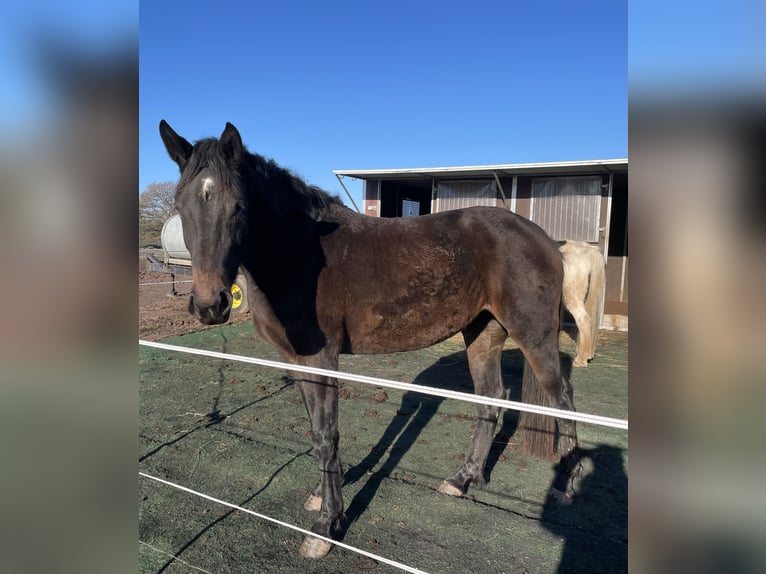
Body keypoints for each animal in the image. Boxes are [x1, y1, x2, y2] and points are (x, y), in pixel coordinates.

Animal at [159, 120, 581, 559]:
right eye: (181, 206)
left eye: (238, 207)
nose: (210, 304)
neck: (300, 251)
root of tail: (547, 240)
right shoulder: (295, 358)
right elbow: (316, 429)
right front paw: (322, 495)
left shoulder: (322, 357)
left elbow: (325, 434)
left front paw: (325, 526)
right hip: (483, 333)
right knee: (491, 399)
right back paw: (463, 479)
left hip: (533, 333)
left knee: (562, 399)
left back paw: (567, 487)